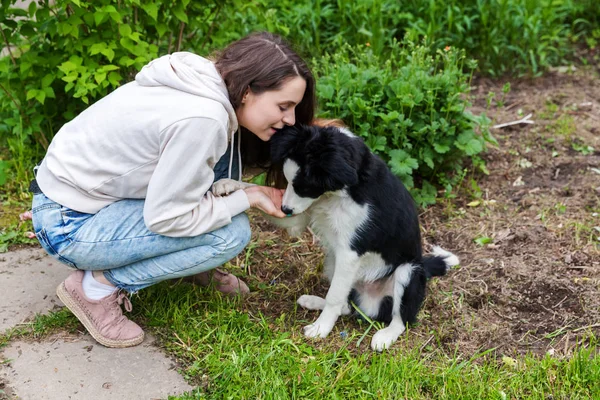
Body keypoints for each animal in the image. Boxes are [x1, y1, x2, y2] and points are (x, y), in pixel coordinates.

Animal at [214, 124, 460, 350]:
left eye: (304, 187)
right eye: (289, 182)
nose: (285, 208)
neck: (342, 191)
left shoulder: (350, 253)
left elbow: (334, 296)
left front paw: (320, 329)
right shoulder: (301, 219)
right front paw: (229, 184)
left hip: (407, 271)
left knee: (400, 318)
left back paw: (384, 337)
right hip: (333, 261)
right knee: (346, 304)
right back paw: (313, 301)